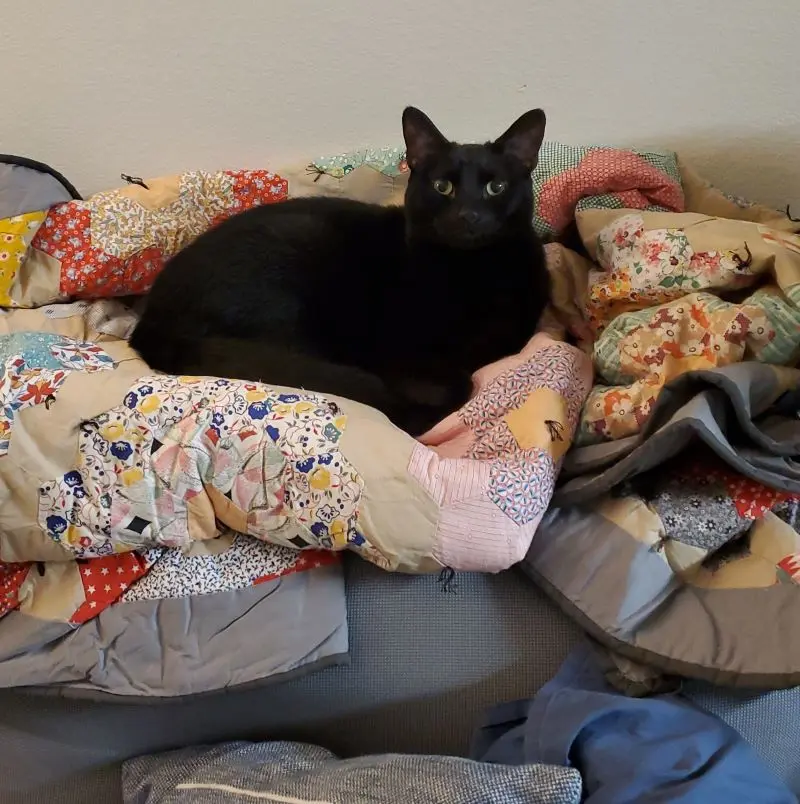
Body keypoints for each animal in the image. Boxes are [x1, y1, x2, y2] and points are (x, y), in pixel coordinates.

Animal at [133, 107, 556, 436]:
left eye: (496, 187)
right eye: (442, 186)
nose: (469, 215)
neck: (473, 272)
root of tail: (150, 323)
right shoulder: (399, 350)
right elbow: (461, 384)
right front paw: (417, 408)